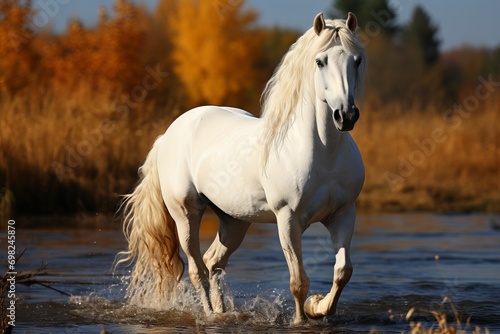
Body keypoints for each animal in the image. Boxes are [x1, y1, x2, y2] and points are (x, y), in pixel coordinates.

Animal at [117, 12, 368, 324]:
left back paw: (223, 312)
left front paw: (317, 306)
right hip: (185, 213)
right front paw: (302, 318)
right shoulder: (288, 219)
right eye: (320, 61)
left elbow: (343, 272)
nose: (346, 115)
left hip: (234, 220)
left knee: (213, 262)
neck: (324, 153)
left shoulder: (343, 215)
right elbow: (298, 281)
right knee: (197, 270)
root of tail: (168, 135)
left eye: (356, 60)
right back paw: (210, 315)